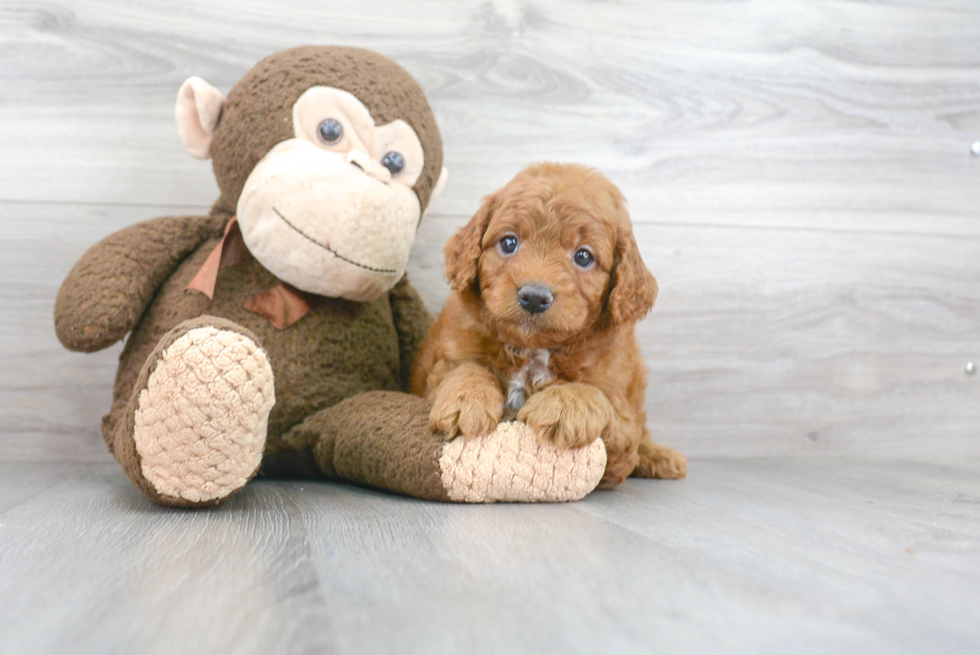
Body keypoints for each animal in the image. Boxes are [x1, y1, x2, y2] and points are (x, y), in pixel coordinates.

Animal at [410, 163, 684, 486]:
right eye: (509, 242)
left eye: (583, 256)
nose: (534, 297)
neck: (532, 350)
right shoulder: (446, 358)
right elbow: (466, 369)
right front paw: (466, 398)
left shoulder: (620, 415)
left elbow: (594, 396)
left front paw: (565, 406)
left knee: (642, 434)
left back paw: (660, 457)